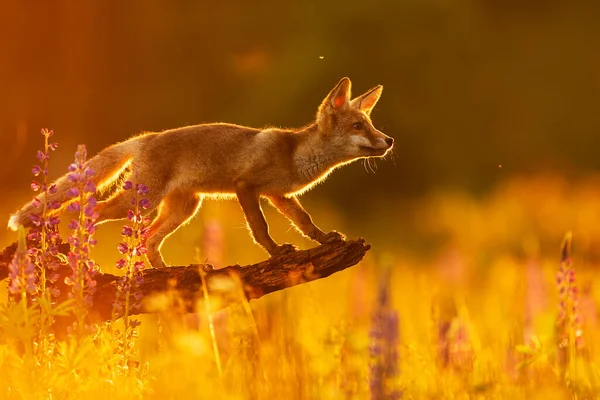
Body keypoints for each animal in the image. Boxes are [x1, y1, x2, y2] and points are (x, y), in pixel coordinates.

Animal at [10, 76, 394, 268]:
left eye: (370, 124)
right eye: (359, 126)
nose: (389, 140)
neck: (295, 156)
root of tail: (145, 137)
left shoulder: (279, 195)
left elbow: (305, 221)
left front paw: (326, 239)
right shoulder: (246, 186)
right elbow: (260, 228)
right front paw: (276, 253)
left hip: (183, 208)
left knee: (147, 239)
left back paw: (165, 275)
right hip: (139, 200)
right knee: (87, 208)